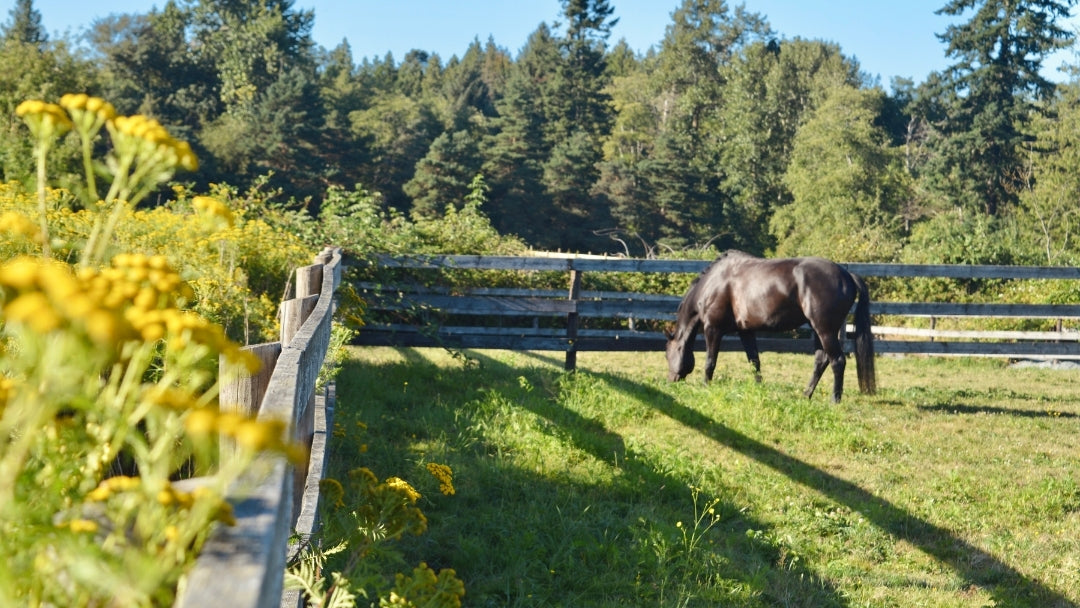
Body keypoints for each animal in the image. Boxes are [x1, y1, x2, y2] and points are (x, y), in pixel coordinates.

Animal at [665, 249, 876, 401]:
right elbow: (754, 361)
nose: (671, 380)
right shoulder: (745, 331)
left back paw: (834, 399)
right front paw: (759, 388)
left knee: (837, 361)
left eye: (668, 355)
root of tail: (847, 275)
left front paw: (705, 386)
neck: (714, 283)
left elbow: (710, 362)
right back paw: (806, 395)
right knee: (820, 361)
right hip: (818, 330)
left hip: (826, 330)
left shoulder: (713, 329)